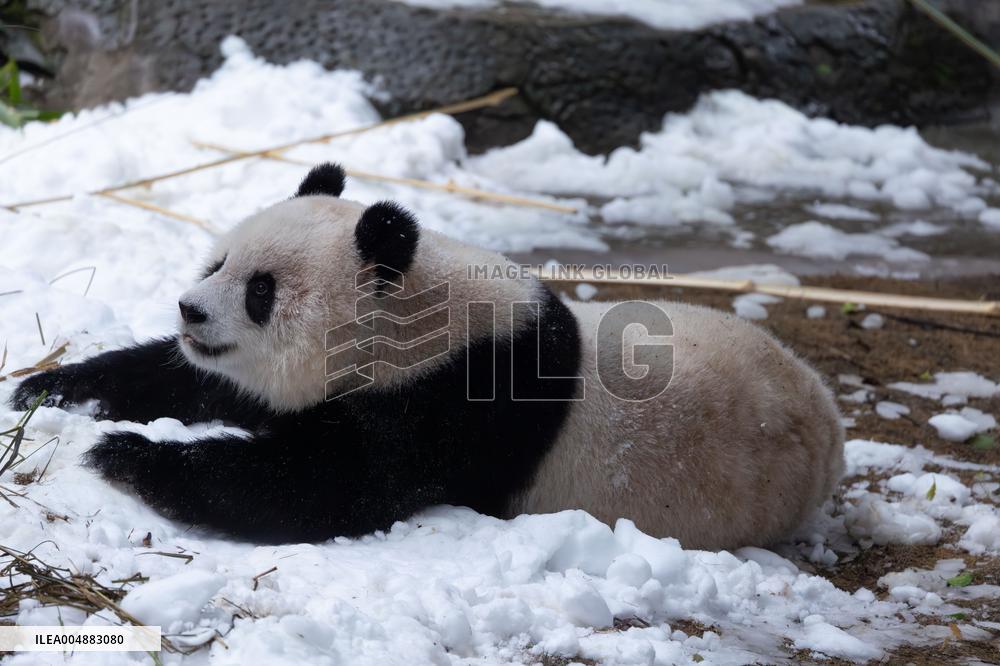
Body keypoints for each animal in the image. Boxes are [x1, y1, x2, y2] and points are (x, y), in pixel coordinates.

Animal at [10, 163, 844, 550]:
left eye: (260, 290)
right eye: (216, 262)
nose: (190, 310)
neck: (416, 313)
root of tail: (830, 422)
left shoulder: (453, 399)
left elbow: (321, 488)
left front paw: (123, 455)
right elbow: (194, 383)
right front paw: (44, 391)